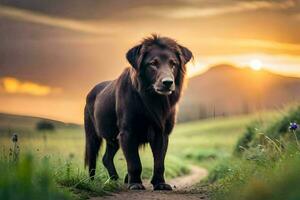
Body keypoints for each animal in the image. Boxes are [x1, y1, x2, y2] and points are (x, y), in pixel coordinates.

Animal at [84, 34, 192, 191]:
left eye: (173, 64)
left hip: (113, 139)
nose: (167, 82)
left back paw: (114, 179)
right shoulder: (128, 132)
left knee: (106, 158)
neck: (152, 99)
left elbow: (159, 163)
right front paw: (135, 183)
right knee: (92, 160)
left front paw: (160, 183)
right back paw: (92, 182)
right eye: (153, 64)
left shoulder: (161, 133)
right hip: (92, 135)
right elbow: (134, 162)